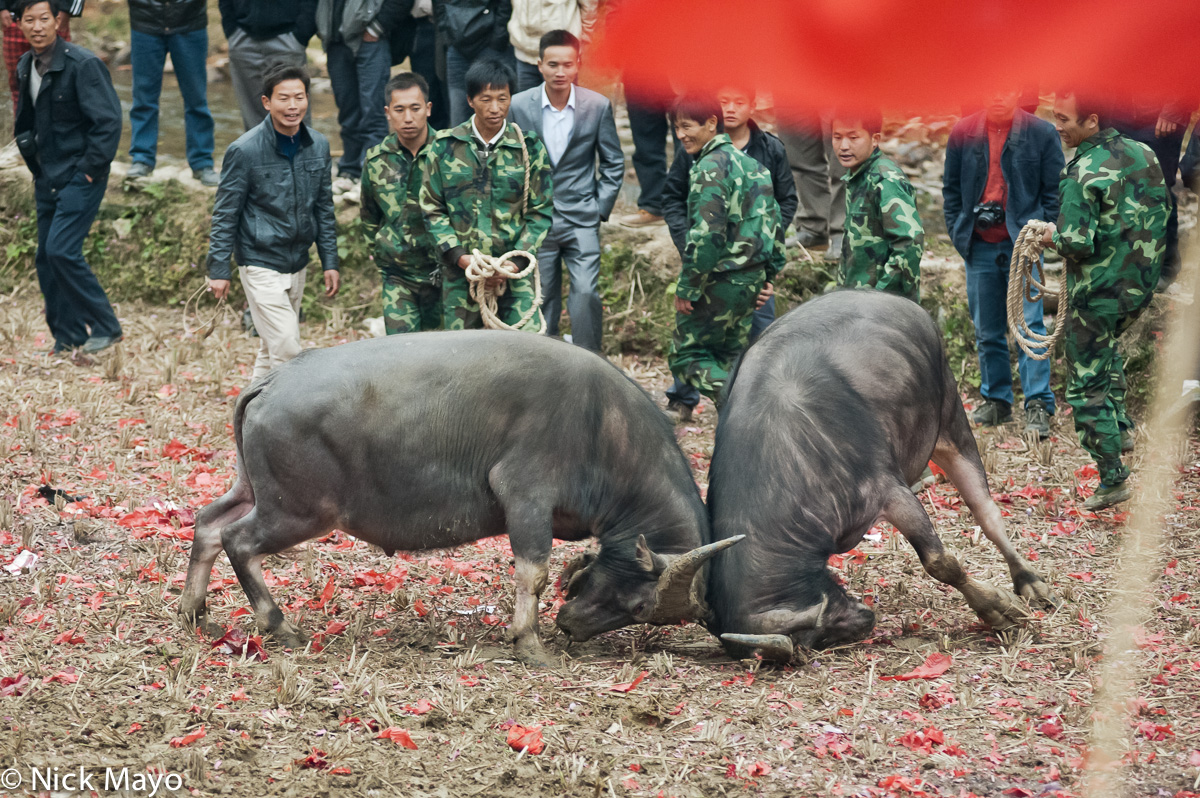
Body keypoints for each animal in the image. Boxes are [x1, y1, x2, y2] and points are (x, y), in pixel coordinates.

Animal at [181, 331, 734, 667]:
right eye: (640, 604)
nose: (571, 626)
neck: (604, 426)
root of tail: (270, 383)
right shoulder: (527, 500)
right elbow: (532, 573)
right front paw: (529, 643)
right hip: (298, 511)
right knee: (239, 541)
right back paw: (280, 626)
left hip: (252, 490)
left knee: (208, 522)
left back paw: (195, 611)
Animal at [705, 289, 1056, 657]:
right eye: (818, 641)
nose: (865, 621)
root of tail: (897, 300)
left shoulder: (890, 490)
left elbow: (940, 562)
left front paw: (997, 609)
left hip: (952, 422)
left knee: (987, 513)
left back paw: (1030, 582)